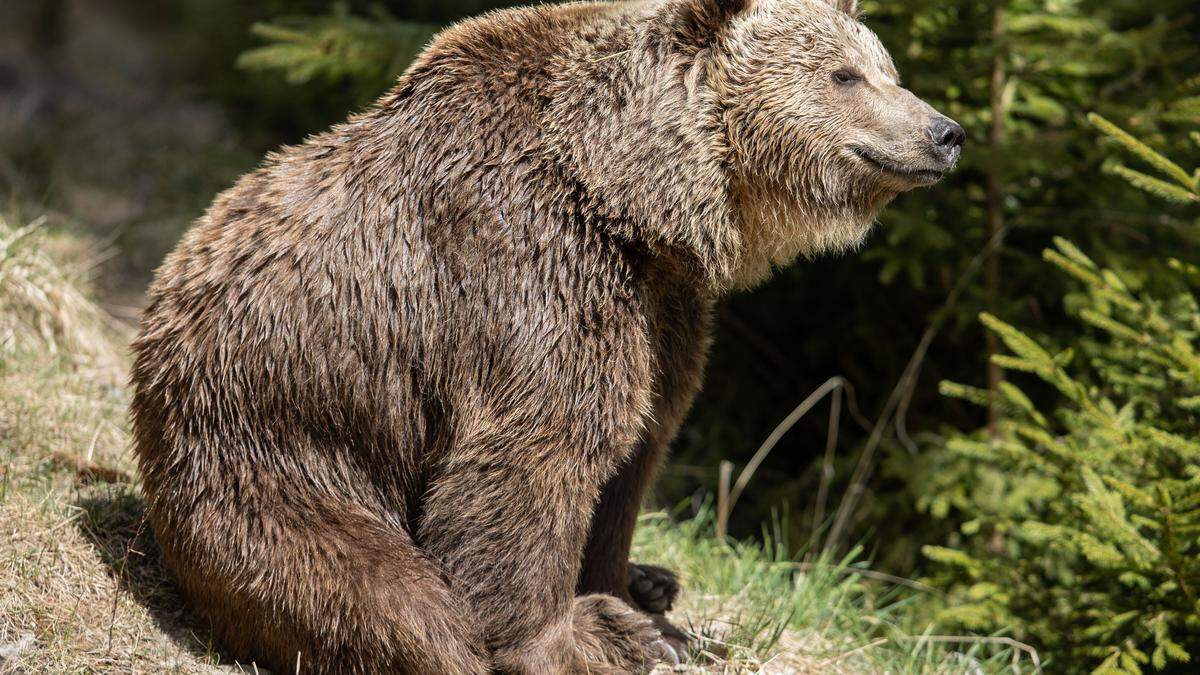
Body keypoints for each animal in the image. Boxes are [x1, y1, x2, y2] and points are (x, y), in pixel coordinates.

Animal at [129, 0, 955, 667]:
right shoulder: (528, 268)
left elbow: (636, 448)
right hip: (279, 449)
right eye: (846, 75)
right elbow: (535, 451)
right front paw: (590, 635)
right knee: (383, 594)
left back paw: (655, 583)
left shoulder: (662, 307)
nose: (945, 131)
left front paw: (646, 607)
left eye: (886, 66)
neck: (634, 199)